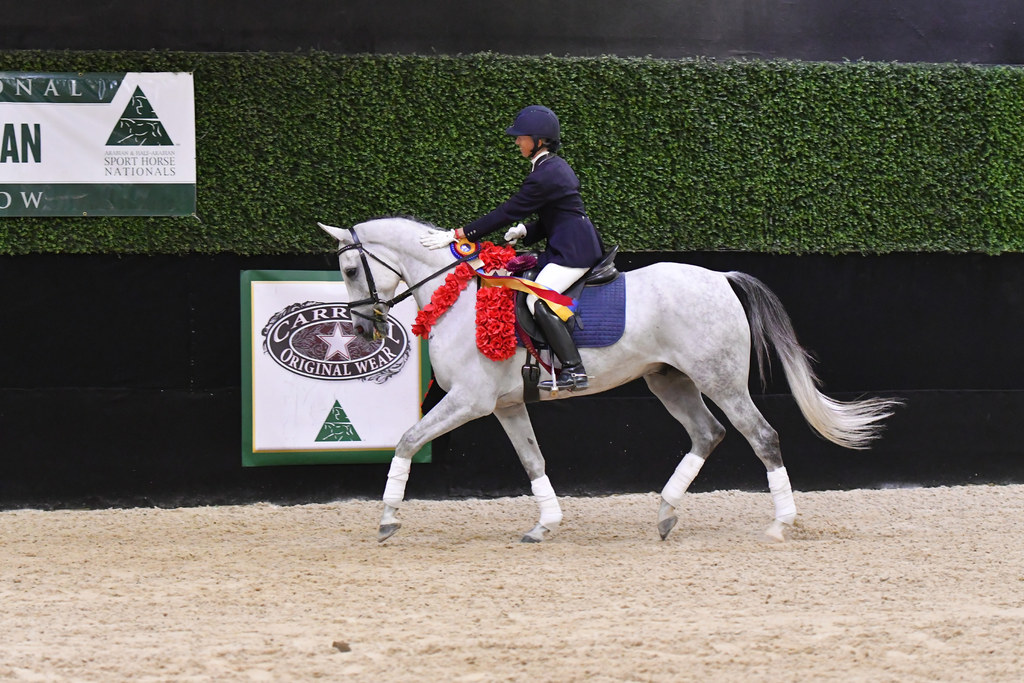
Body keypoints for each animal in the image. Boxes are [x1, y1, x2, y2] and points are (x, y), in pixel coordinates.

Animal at [317, 219, 897, 544]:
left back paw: (781, 523)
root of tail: (720, 277)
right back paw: (665, 513)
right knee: (708, 434)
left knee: (763, 437)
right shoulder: (505, 405)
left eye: (348, 269)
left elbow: (406, 440)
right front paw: (545, 524)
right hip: (670, 381)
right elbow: (533, 460)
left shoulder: (468, 400)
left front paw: (388, 519)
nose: (362, 329)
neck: (456, 293)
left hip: (722, 381)